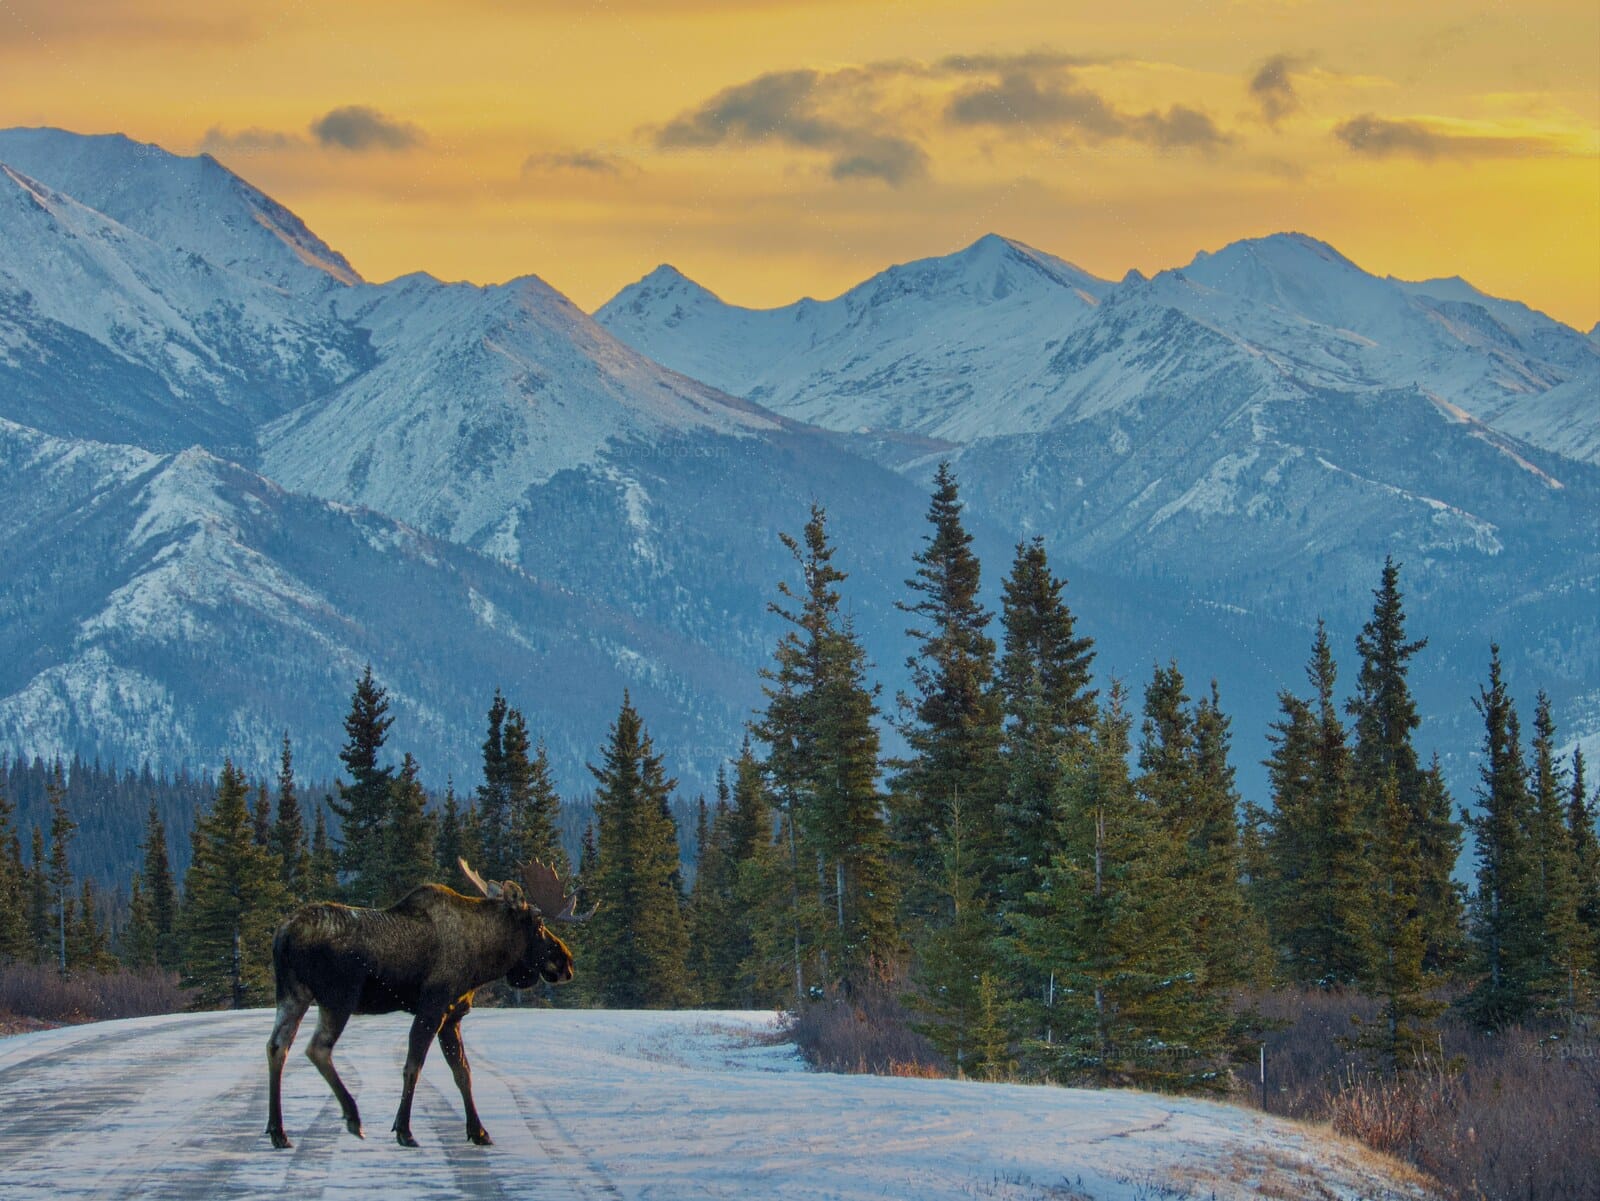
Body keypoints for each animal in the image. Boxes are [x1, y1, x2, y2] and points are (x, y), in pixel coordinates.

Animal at [264, 858, 592, 1150]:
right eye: (538, 923)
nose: (566, 962)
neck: (482, 959)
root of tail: (284, 934)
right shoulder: (433, 1006)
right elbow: (414, 1065)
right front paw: (404, 1130)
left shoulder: (452, 1016)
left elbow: (462, 1072)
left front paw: (479, 1131)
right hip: (338, 997)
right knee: (317, 1048)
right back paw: (353, 1118)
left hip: (292, 994)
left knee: (277, 1047)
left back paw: (278, 1131)